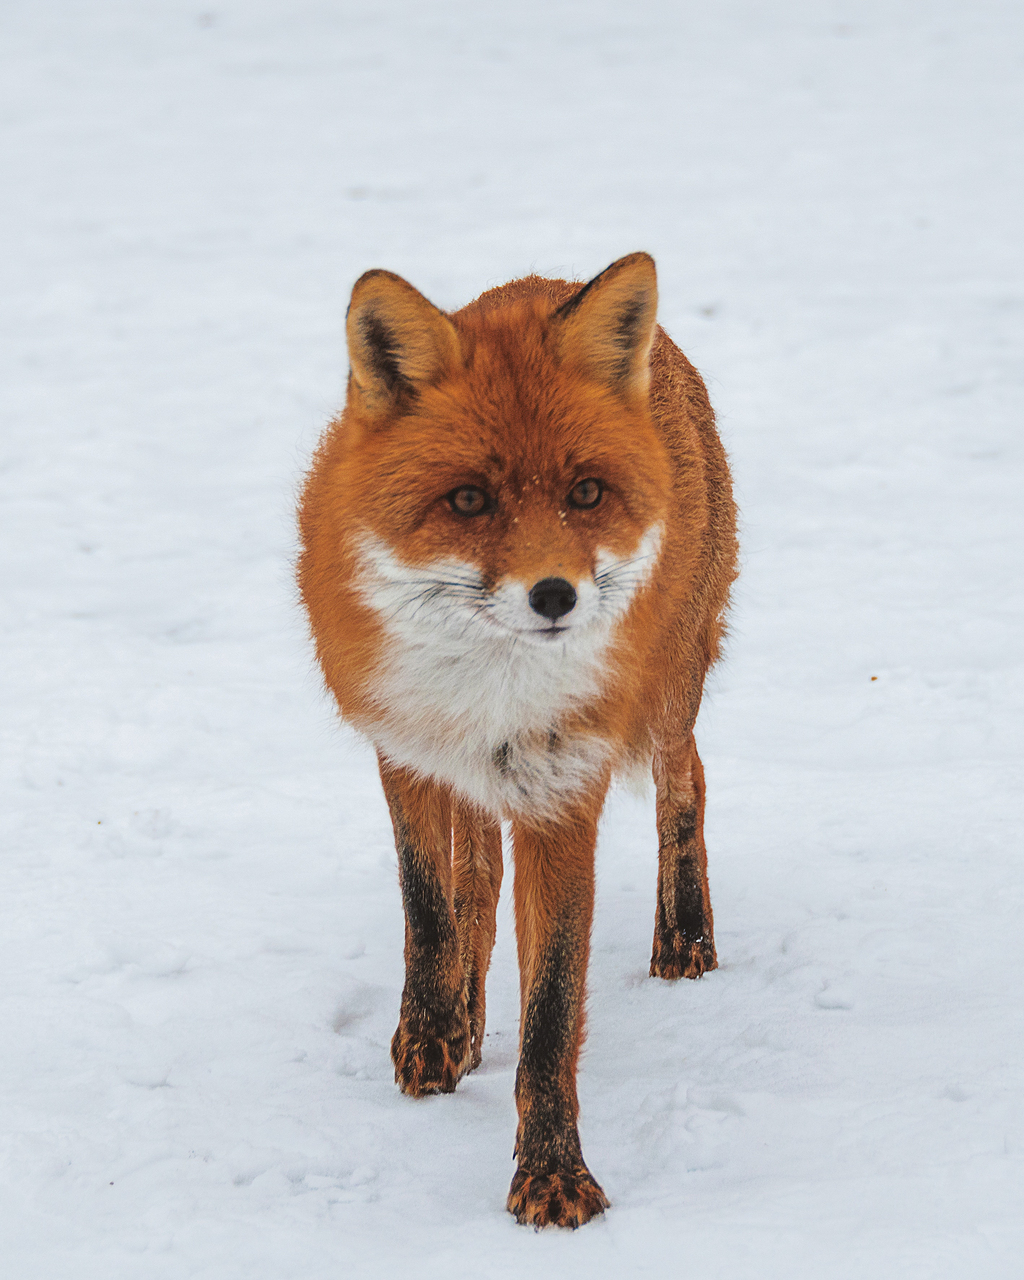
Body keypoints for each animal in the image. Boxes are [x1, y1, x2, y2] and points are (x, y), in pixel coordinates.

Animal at [295, 252, 737, 1228]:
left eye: (585, 493)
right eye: (468, 499)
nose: (555, 596)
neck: (493, 692)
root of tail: (551, 277)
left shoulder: (563, 789)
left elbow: (551, 1013)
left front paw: (553, 1177)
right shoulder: (409, 750)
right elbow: (431, 907)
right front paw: (432, 1033)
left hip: (667, 693)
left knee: (688, 779)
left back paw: (684, 936)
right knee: (477, 880)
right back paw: (459, 1018)